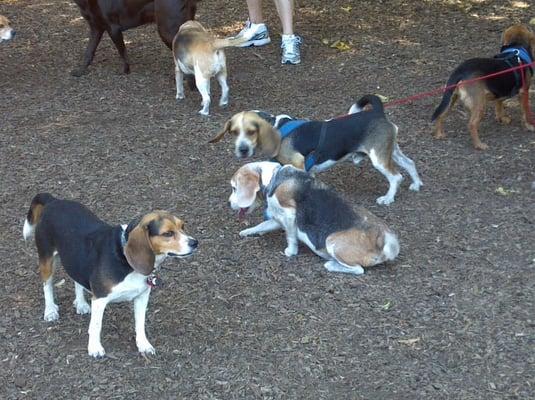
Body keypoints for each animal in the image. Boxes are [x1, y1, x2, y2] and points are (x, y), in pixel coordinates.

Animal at [22, 192, 199, 358]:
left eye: (183, 226)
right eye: (168, 233)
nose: (195, 242)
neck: (125, 258)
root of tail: (53, 201)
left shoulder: (142, 296)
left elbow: (140, 323)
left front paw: (143, 345)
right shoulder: (100, 299)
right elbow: (96, 326)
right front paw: (95, 348)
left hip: (74, 258)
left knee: (77, 280)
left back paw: (81, 303)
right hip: (46, 260)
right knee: (47, 286)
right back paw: (50, 311)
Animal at [209, 95, 422, 205]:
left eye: (251, 132)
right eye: (233, 132)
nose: (242, 150)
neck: (277, 127)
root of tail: (377, 112)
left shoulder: (298, 163)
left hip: (379, 158)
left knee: (396, 177)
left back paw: (388, 198)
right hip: (390, 151)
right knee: (409, 163)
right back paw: (416, 184)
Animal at [230, 162, 402, 276]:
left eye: (234, 188)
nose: (229, 203)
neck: (274, 178)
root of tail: (384, 238)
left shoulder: (289, 214)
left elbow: (290, 237)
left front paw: (290, 252)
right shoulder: (278, 219)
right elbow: (261, 225)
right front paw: (247, 232)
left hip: (332, 241)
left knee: (358, 270)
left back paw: (331, 264)